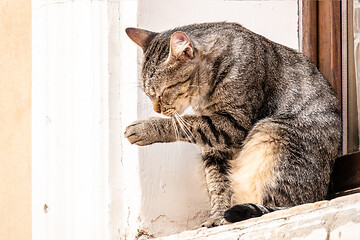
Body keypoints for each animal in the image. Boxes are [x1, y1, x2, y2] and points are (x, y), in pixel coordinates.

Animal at [123, 22, 340, 227]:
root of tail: (322, 191)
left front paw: (145, 128)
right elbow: (218, 185)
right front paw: (217, 217)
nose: (156, 109)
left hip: (273, 132)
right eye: (148, 94)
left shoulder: (232, 124)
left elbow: (185, 125)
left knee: (286, 205)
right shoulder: (215, 149)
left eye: (162, 92)